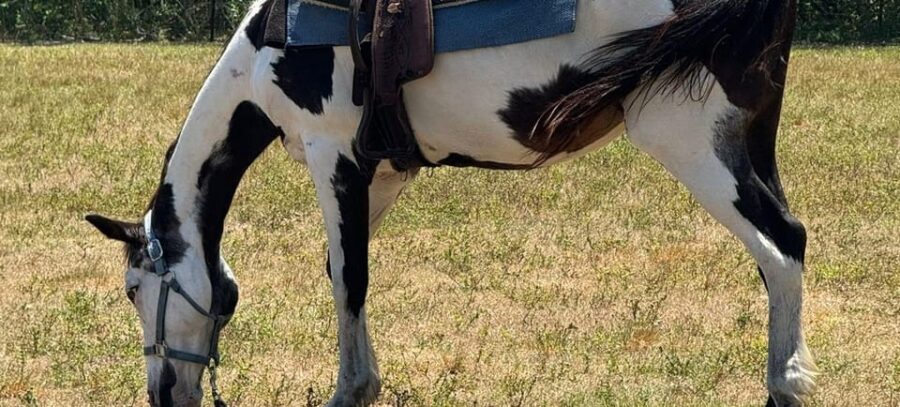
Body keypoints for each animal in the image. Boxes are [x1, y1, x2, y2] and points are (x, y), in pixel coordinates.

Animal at [85, 0, 817, 405]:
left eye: (133, 289)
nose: (163, 396)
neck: (274, 43)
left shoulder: (332, 154)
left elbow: (349, 279)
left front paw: (351, 391)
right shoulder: (380, 172)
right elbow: (343, 271)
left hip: (686, 138)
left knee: (779, 249)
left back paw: (786, 383)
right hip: (750, 138)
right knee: (785, 252)